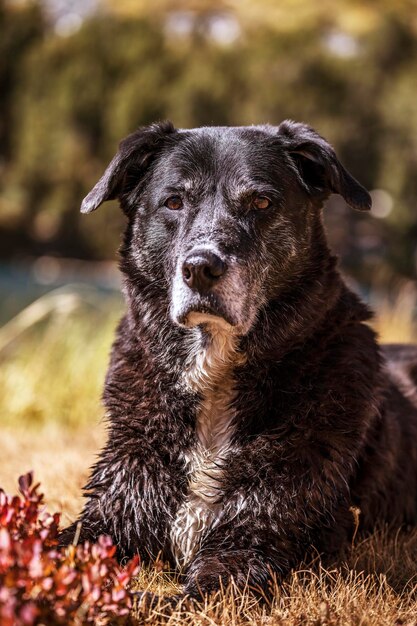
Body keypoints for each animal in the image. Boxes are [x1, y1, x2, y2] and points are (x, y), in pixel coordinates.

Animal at [59, 119, 417, 596]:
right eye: (174, 201)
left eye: (261, 202)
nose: (200, 268)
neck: (216, 374)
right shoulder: (113, 511)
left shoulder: (251, 541)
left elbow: (172, 599)